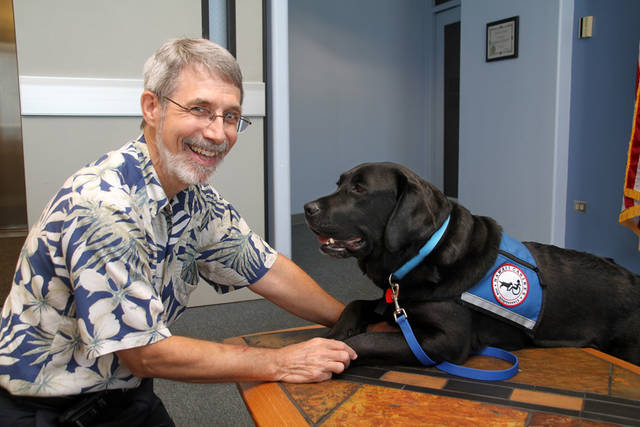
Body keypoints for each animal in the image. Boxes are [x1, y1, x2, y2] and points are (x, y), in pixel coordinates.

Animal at [304, 162, 640, 366]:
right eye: (339, 184)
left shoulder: (446, 341)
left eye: (359, 189)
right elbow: (355, 304)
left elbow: (369, 339)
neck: (427, 251)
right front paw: (334, 335)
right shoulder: (395, 301)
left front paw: (329, 352)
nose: (307, 207)